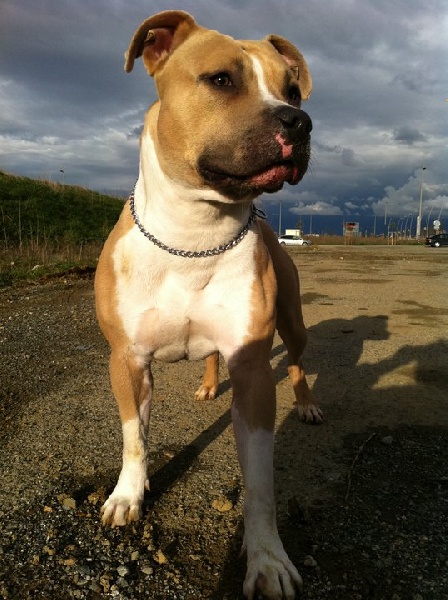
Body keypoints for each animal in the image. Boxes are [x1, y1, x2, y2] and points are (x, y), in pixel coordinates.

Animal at [94, 10, 322, 599]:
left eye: (292, 90)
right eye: (221, 80)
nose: (299, 122)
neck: (195, 235)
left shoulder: (254, 371)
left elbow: (260, 480)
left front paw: (266, 558)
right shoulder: (126, 360)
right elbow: (133, 437)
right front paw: (127, 495)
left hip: (293, 321)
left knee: (297, 361)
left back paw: (307, 403)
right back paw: (206, 383)